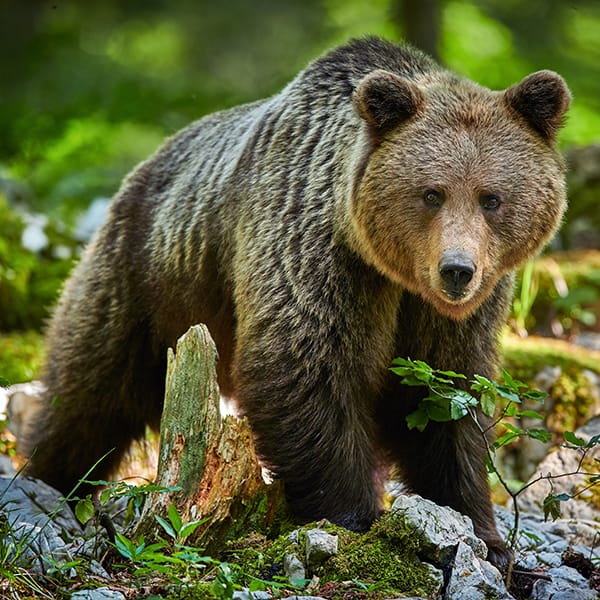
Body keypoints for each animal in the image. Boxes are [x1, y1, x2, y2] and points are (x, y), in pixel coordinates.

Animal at [25, 35, 568, 568]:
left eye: (491, 197)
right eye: (432, 193)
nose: (456, 270)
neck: (394, 273)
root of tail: (146, 167)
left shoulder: (454, 314)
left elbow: (446, 398)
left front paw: (485, 536)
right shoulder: (316, 250)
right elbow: (306, 366)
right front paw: (353, 517)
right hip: (146, 282)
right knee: (89, 393)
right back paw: (48, 480)